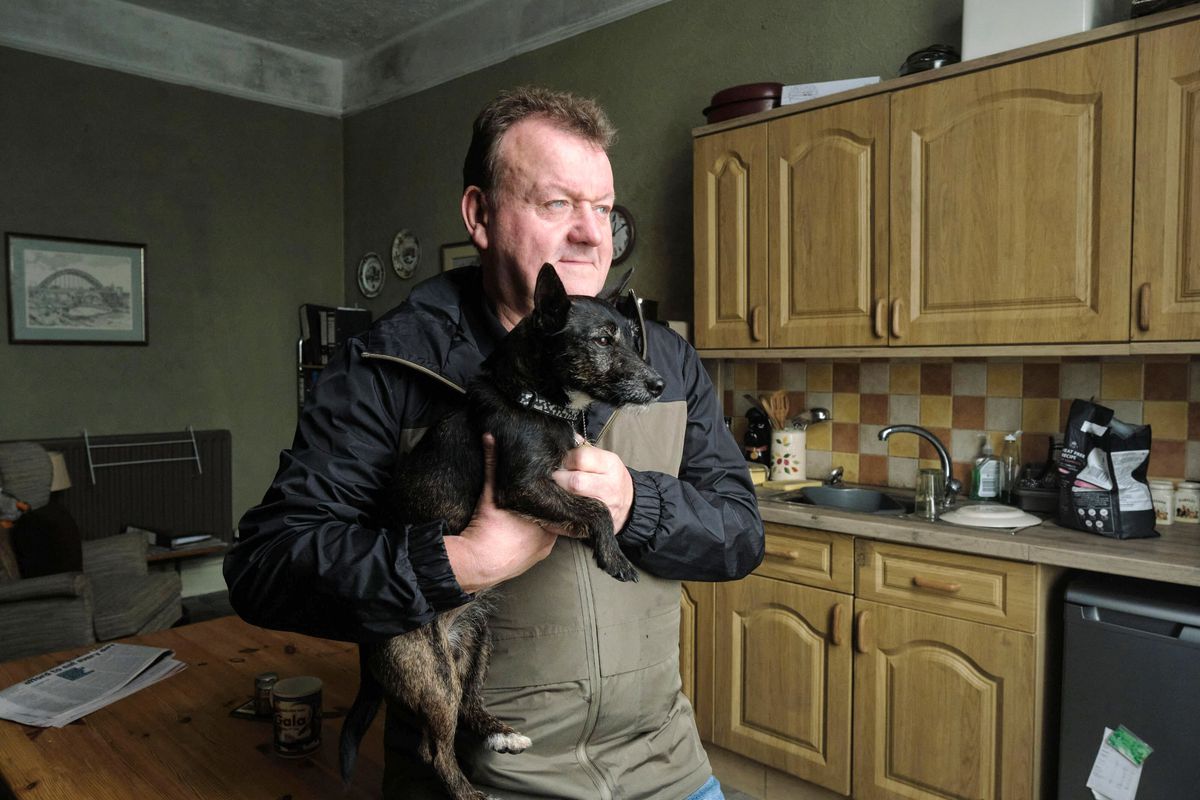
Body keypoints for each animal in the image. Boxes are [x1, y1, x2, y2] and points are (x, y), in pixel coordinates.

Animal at [340, 267, 667, 800]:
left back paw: (501, 732)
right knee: (435, 747)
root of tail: (366, 647)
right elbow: (597, 507)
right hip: (431, 673)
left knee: (469, 704)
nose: (659, 385)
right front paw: (614, 556)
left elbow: (589, 505)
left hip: (477, 644)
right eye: (602, 340)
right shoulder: (524, 486)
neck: (535, 401)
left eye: (634, 339)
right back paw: (469, 792)